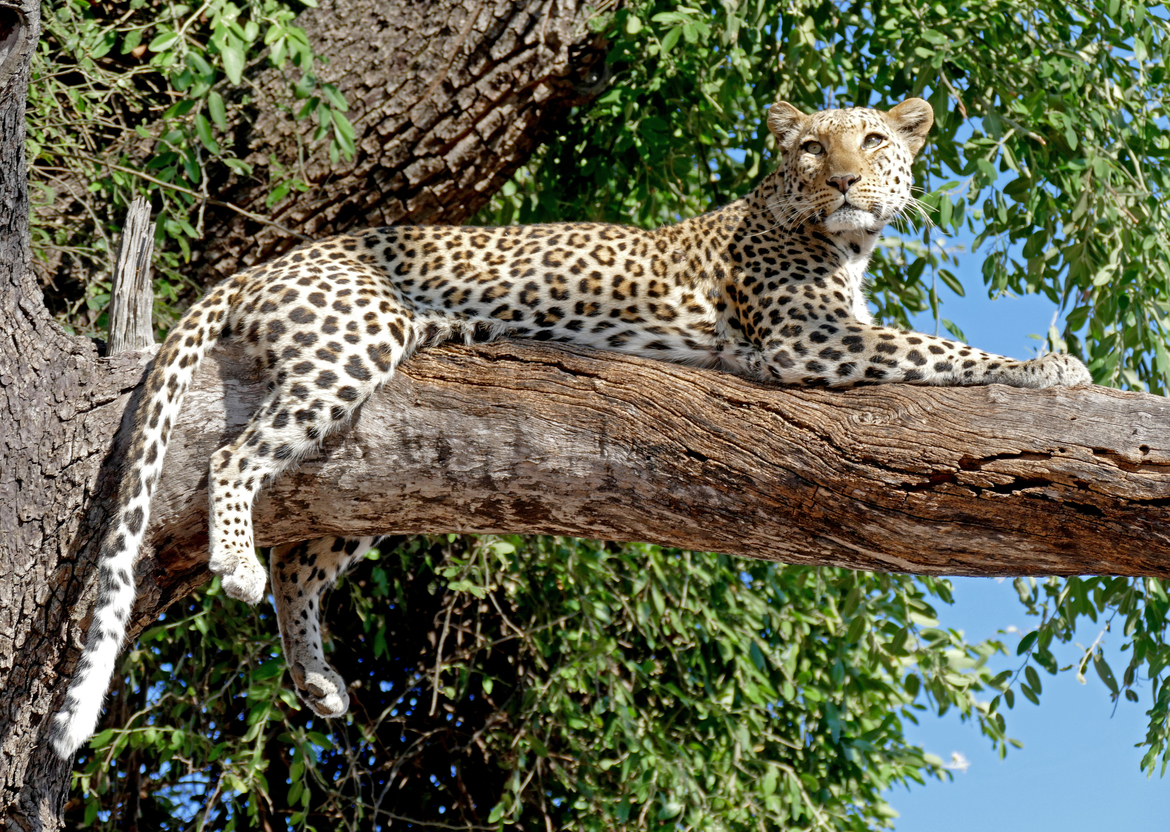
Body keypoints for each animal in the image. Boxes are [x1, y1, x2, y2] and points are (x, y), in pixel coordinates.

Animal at [50, 97, 1092, 759]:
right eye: (810, 150)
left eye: (873, 140)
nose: (842, 182)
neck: (836, 241)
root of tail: (268, 262)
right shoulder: (811, 340)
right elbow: (939, 349)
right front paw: (1051, 368)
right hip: (350, 346)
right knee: (233, 461)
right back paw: (234, 564)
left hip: (376, 459)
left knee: (303, 560)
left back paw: (318, 682)